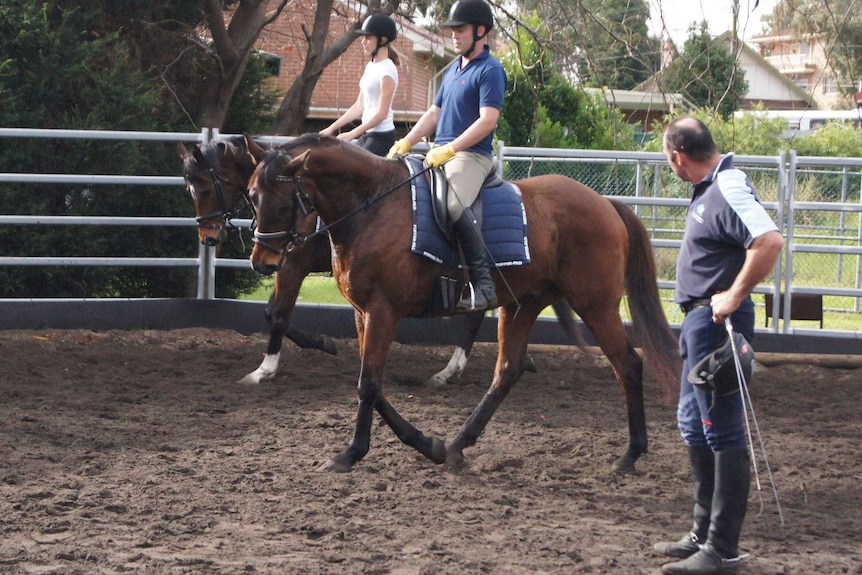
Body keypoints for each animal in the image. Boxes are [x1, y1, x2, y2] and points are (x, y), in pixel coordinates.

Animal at [179, 136, 576, 388]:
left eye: (204, 188)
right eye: (251, 193)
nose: (208, 237)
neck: (367, 199)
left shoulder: (292, 265)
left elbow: (276, 315)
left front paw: (268, 367)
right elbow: (272, 313)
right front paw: (320, 344)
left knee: (477, 314)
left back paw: (450, 371)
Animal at [246, 134, 680, 472]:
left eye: (283, 200)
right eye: (252, 196)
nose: (262, 261)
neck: (371, 205)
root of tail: (605, 203)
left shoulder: (383, 310)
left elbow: (368, 384)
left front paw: (350, 454)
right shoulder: (362, 312)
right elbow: (374, 385)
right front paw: (428, 444)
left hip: (596, 306)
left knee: (628, 366)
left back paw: (631, 454)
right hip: (522, 305)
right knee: (507, 371)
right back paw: (456, 445)